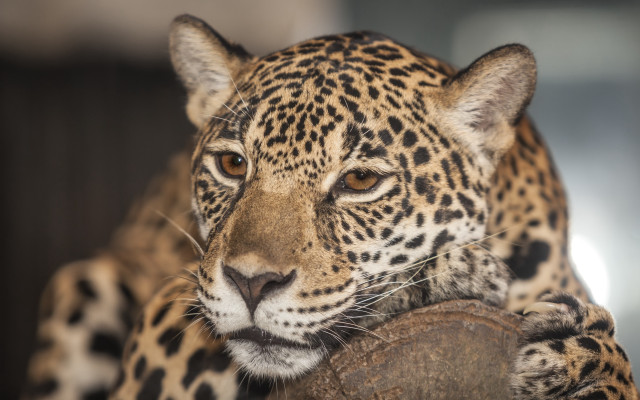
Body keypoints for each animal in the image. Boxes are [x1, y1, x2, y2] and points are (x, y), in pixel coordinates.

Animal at [23, 14, 637, 400]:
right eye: (233, 165)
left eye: (359, 180)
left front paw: (581, 356)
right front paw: (459, 273)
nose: (252, 284)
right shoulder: (171, 321)